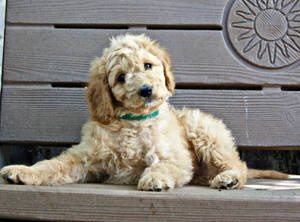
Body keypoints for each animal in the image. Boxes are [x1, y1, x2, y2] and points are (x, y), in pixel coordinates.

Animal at [0, 33, 290, 190]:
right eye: (120, 77)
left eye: (148, 65)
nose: (146, 90)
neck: (133, 122)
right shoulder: (84, 158)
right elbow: (53, 164)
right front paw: (23, 171)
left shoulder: (177, 158)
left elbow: (164, 164)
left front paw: (155, 179)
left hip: (203, 130)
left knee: (238, 164)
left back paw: (228, 178)